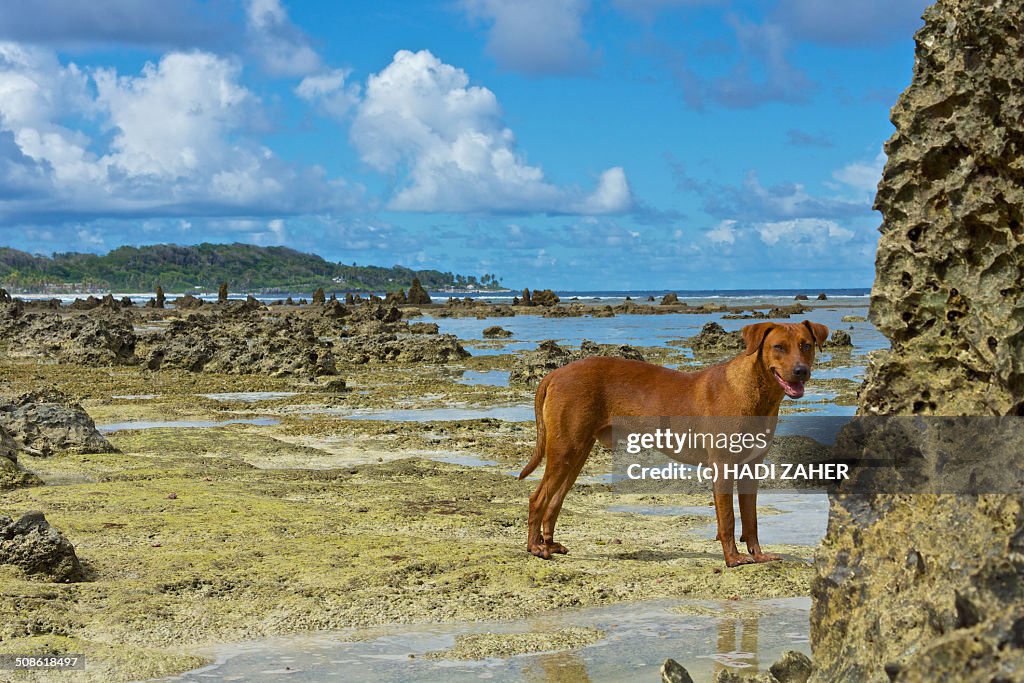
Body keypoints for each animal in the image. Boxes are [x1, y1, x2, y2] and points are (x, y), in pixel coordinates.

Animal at [524, 321, 827, 565]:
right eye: (778, 347)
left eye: (806, 345)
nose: (801, 371)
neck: (755, 392)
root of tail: (556, 373)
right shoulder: (723, 466)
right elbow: (728, 520)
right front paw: (733, 559)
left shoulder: (751, 468)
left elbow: (751, 519)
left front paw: (758, 555)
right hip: (565, 450)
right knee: (537, 498)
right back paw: (535, 548)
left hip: (576, 452)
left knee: (554, 501)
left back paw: (549, 543)